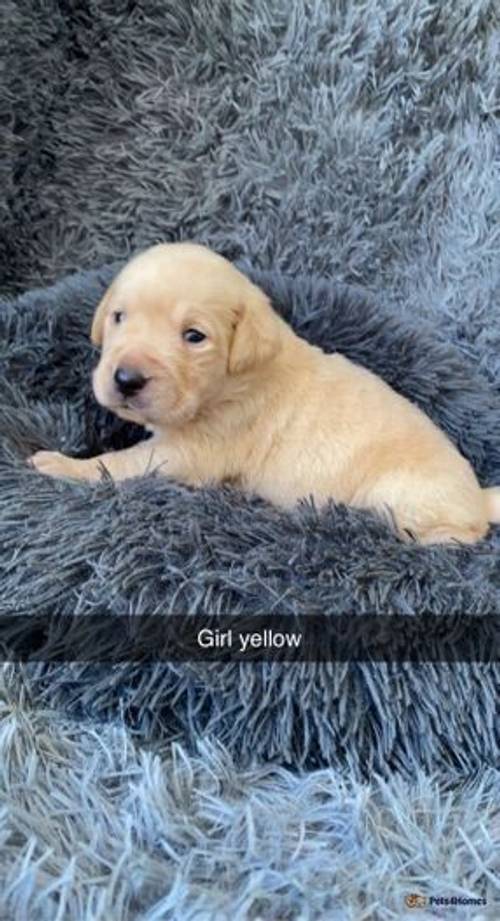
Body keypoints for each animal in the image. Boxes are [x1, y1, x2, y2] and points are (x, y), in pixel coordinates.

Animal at [31, 241, 500, 544]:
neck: (233, 381)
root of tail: (478, 497)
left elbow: (117, 465)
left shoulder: (191, 450)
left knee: (465, 535)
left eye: (194, 336)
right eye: (119, 317)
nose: (126, 379)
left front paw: (60, 465)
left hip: (403, 495)